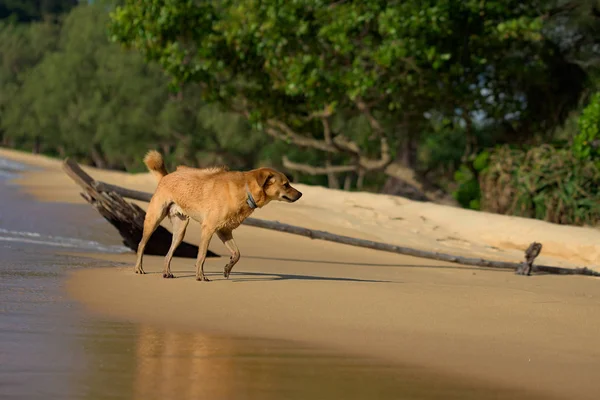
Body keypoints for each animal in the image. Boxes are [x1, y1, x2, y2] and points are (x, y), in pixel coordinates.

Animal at [134, 151, 302, 282]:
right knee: (141, 244)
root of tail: (166, 176)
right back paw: (138, 268)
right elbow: (202, 255)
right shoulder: (208, 228)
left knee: (168, 254)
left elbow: (237, 254)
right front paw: (200, 276)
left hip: (179, 231)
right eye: (286, 184)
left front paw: (227, 268)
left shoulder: (224, 230)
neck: (246, 191)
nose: (301, 194)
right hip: (154, 219)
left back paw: (166, 272)